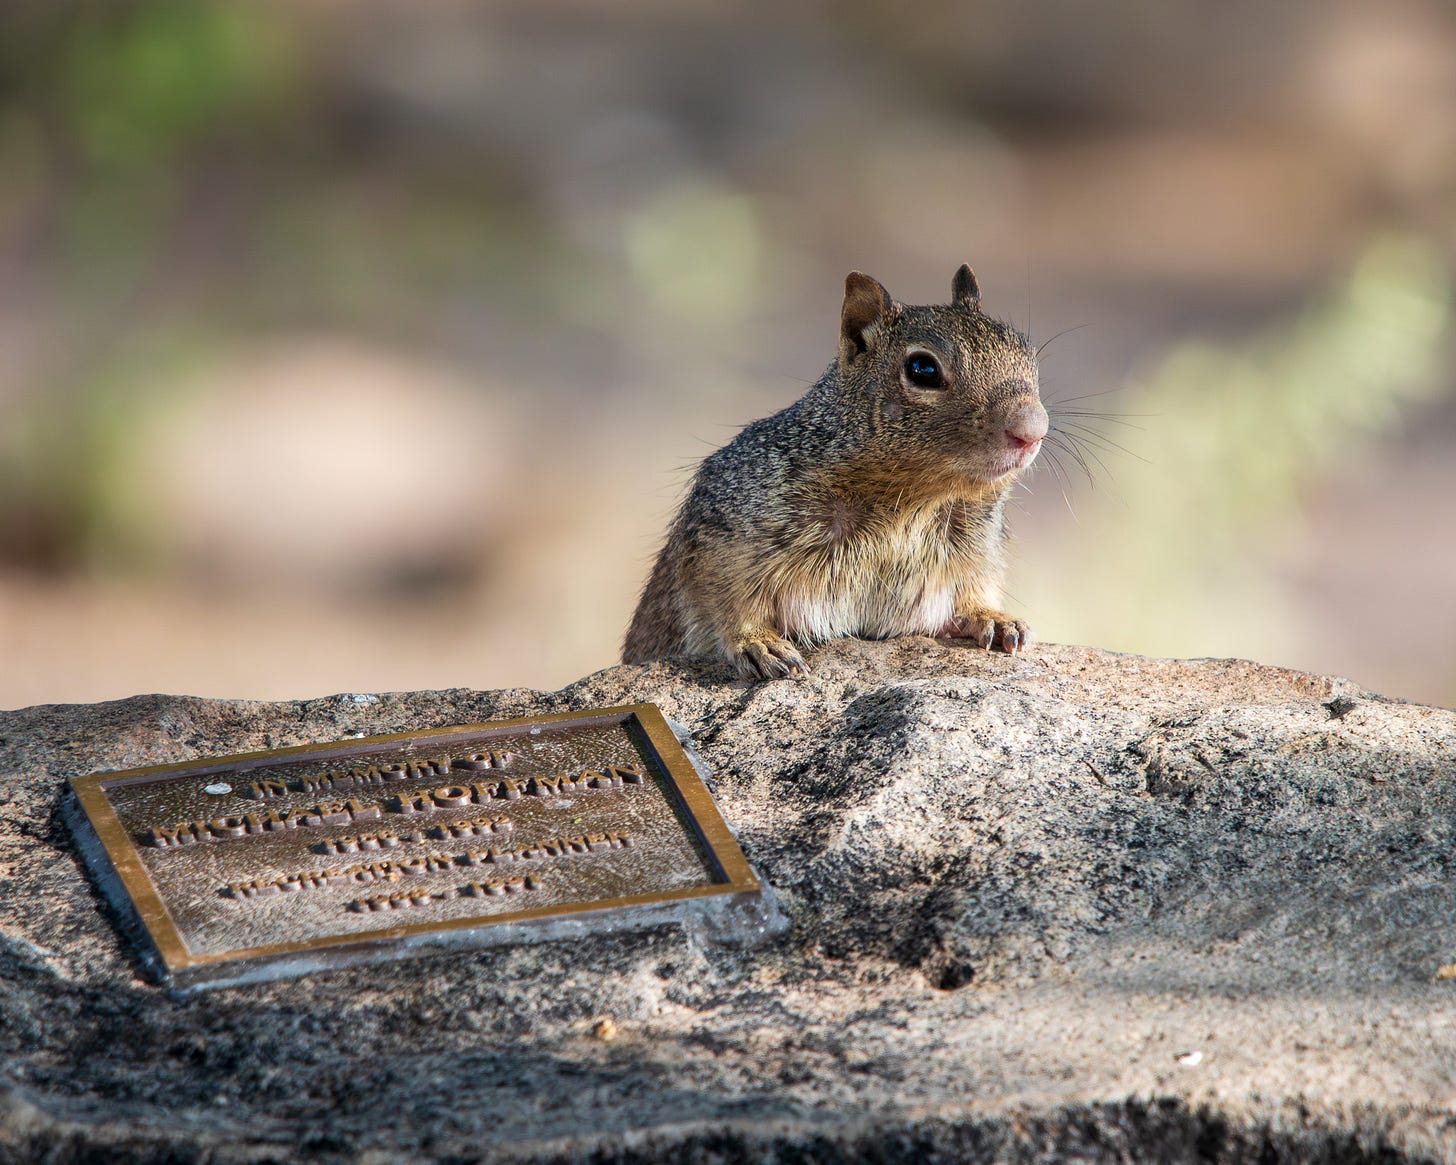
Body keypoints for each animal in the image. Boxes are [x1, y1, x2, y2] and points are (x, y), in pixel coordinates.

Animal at [623, 264, 1047, 680]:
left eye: (1027, 353)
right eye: (922, 369)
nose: (1032, 430)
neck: (913, 497)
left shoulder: (973, 548)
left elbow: (969, 592)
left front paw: (990, 617)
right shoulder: (728, 539)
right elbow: (726, 600)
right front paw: (758, 642)